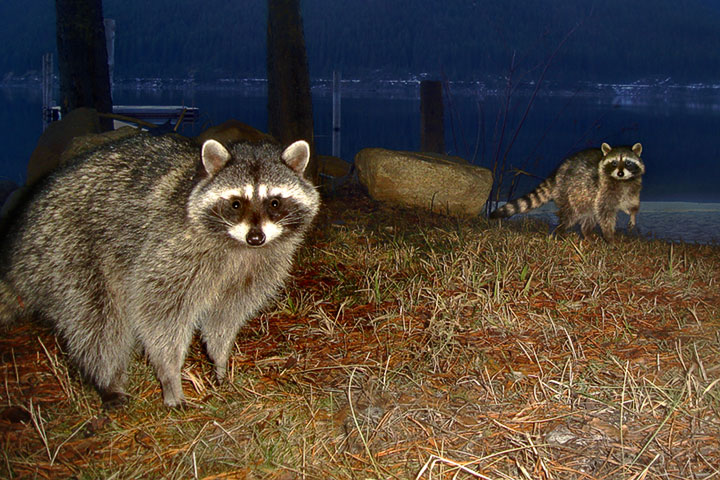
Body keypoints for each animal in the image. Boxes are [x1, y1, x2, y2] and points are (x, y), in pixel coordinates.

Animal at [0, 133, 320, 406]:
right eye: (235, 203)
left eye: (274, 203)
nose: (256, 237)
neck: (238, 246)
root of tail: (16, 254)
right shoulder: (170, 248)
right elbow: (159, 313)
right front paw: (170, 376)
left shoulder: (260, 265)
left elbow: (227, 313)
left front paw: (219, 359)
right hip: (66, 252)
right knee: (98, 321)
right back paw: (107, 380)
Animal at [490, 142, 648, 240]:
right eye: (614, 163)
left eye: (628, 163)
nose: (620, 173)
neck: (622, 181)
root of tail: (557, 174)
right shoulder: (603, 190)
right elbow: (605, 213)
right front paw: (609, 236)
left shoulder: (632, 188)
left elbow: (631, 204)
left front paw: (633, 215)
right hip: (568, 191)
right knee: (570, 214)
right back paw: (561, 230)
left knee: (589, 215)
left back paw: (587, 234)